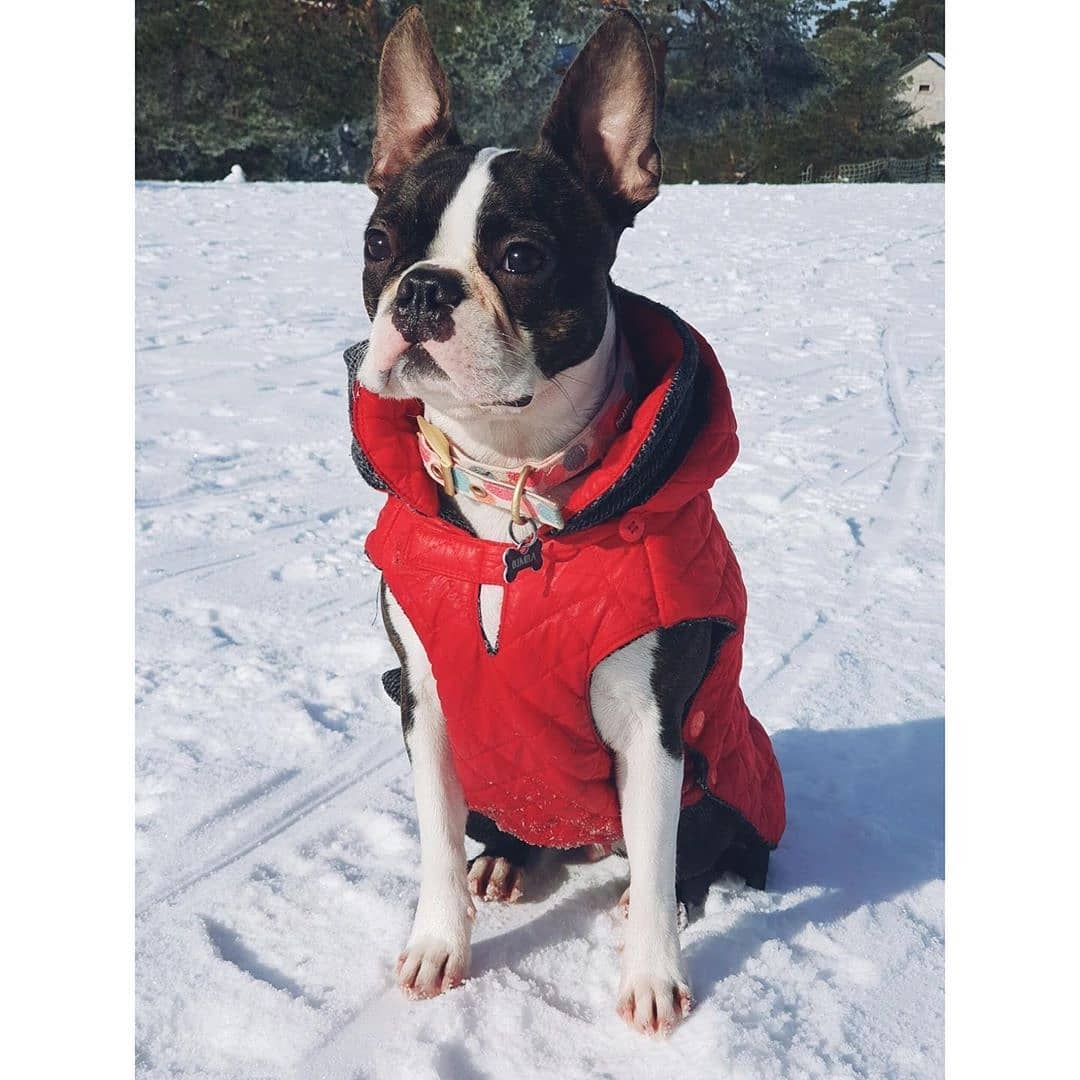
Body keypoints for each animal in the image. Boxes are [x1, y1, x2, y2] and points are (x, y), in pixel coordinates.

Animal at [346, 8, 785, 1037]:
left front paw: (654, 978)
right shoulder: (426, 703)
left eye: (522, 259)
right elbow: (434, 841)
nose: (422, 287)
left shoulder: (653, 727)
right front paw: (440, 946)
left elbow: (660, 855)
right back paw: (507, 863)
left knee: (687, 852)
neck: (513, 483)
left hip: (715, 767)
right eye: (380, 241)